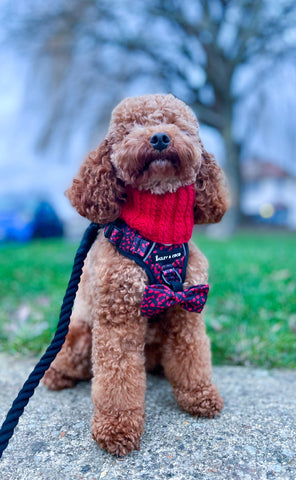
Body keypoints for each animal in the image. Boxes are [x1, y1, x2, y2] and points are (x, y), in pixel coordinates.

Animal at [42, 94, 230, 458]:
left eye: (176, 125)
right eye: (131, 129)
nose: (159, 137)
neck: (160, 234)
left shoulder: (187, 307)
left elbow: (194, 355)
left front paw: (199, 395)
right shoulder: (119, 319)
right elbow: (117, 378)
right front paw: (117, 427)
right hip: (80, 336)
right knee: (67, 360)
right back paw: (55, 376)